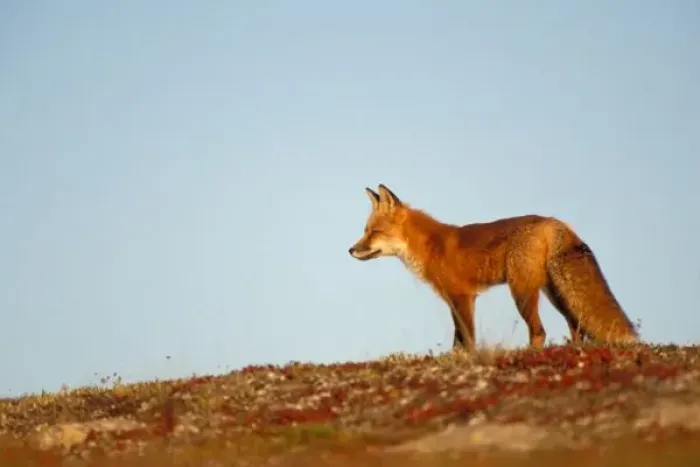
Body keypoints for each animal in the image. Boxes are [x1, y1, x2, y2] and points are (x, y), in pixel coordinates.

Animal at [348, 184, 638, 351]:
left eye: (373, 232)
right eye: (365, 231)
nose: (350, 250)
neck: (429, 246)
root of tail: (552, 221)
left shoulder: (462, 297)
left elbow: (467, 341)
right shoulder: (455, 301)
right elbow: (458, 341)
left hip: (522, 292)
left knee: (540, 331)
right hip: (554, 292)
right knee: (575, 325)